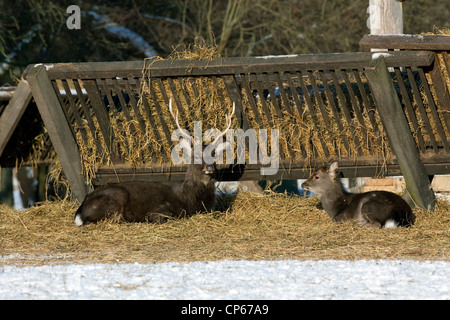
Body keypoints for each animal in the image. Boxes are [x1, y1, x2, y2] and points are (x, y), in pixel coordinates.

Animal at [73, 99, 236, 226]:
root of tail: (79, 212)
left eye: (214, 155)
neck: (189, 200)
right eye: (195, 155)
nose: (209, 167)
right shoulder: (158, 210)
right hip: (116, 197)